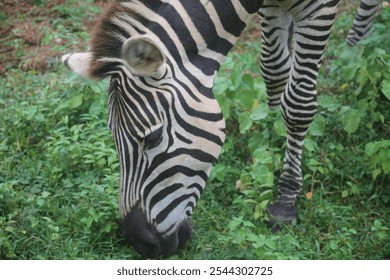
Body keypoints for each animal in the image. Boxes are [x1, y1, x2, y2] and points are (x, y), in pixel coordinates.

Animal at [62, 0, 340, 258]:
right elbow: (274, 69)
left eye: (153, 138)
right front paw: (269, 138)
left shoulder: (319, 10)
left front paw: (286, 199)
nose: (140, 244)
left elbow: (297, 103)